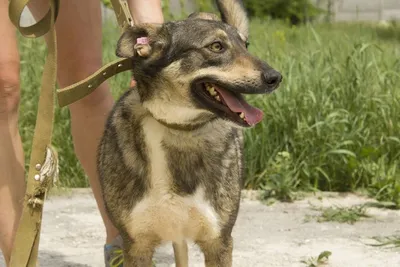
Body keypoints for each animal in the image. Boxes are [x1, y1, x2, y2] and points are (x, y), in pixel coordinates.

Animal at [97, 1, 282, 266]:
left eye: (245, 46)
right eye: (216, 46)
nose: (276, 77)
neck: (177, 128)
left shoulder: (218, 242)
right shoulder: (136, 246)